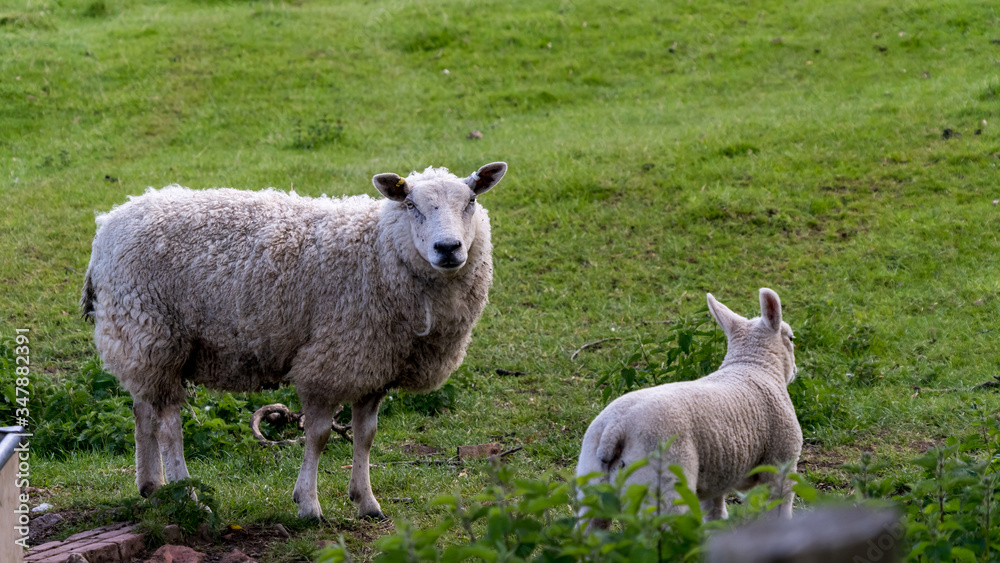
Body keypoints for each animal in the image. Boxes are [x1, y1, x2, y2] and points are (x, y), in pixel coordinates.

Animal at [80, 162, 507, 520]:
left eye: (471, 201)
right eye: (410, 204)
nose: (448, 249)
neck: (377, 250)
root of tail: (108, 225)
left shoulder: (374, 364)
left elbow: (366, 436)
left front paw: (367, 502)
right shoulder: (329, 361)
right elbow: (318, 437)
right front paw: (309, 505)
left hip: (142, 344)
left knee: (143, 411)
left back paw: (152, 487)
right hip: (154, 331)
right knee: (169, 425)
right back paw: (189, 497)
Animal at [576, 288, 801, 525]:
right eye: (791, 338)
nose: (796, 371)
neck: (753, 366)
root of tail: (615, 428)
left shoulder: (715, 480)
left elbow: (715, 516)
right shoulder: (781, 463)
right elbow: (779, 512)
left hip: (591, 481)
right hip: (664, 482)